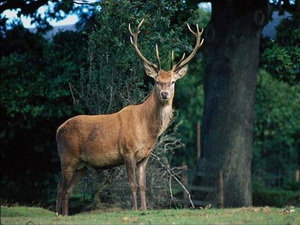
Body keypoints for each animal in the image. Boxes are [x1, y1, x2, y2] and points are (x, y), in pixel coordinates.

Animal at [55, 19, 203, 216]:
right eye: (156, 81)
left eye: (172, 82)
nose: (164, 94)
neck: (147, 129)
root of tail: (58, 129)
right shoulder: (127, 151)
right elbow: (132, 184)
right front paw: (134, 209)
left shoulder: (144, 156)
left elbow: (143, 185)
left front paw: (145, 209)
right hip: (67, 156)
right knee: (60, 187)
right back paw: (58, 214)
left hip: (82, 165)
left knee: (66, 189)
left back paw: (63, 214)